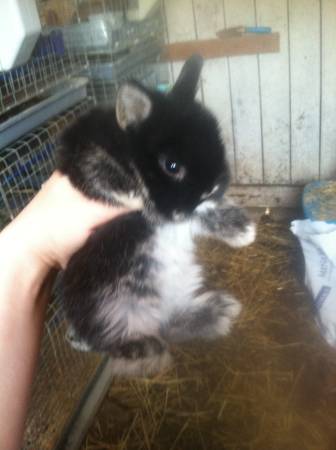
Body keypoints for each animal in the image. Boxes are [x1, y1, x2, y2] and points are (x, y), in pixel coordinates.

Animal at [57, 54, 255, 374]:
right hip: (104, 307)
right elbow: (99, 165)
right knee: (110, 341)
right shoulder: (82, 154)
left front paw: (243, 231)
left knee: (169, 326)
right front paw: (134, 192)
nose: (214, 187)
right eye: (171, 165)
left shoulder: (187, 212)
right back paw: (145, 347)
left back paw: (219, 311)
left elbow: (200, 215)